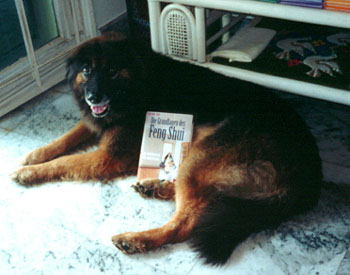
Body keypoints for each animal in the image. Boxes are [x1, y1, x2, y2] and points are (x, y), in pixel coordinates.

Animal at [11, 33, 322, 268]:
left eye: (111, 70)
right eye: (87, 70)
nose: (93, 97)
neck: (136, 81)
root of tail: (309, 176)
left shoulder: (109, 155)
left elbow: (64, 162)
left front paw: (30, 172)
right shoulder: (98, 121)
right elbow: (66, 138)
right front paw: (34, 155)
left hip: (200, 158)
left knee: (184, 223)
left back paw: (137, 239)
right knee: (202, 199)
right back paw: (155, 187)